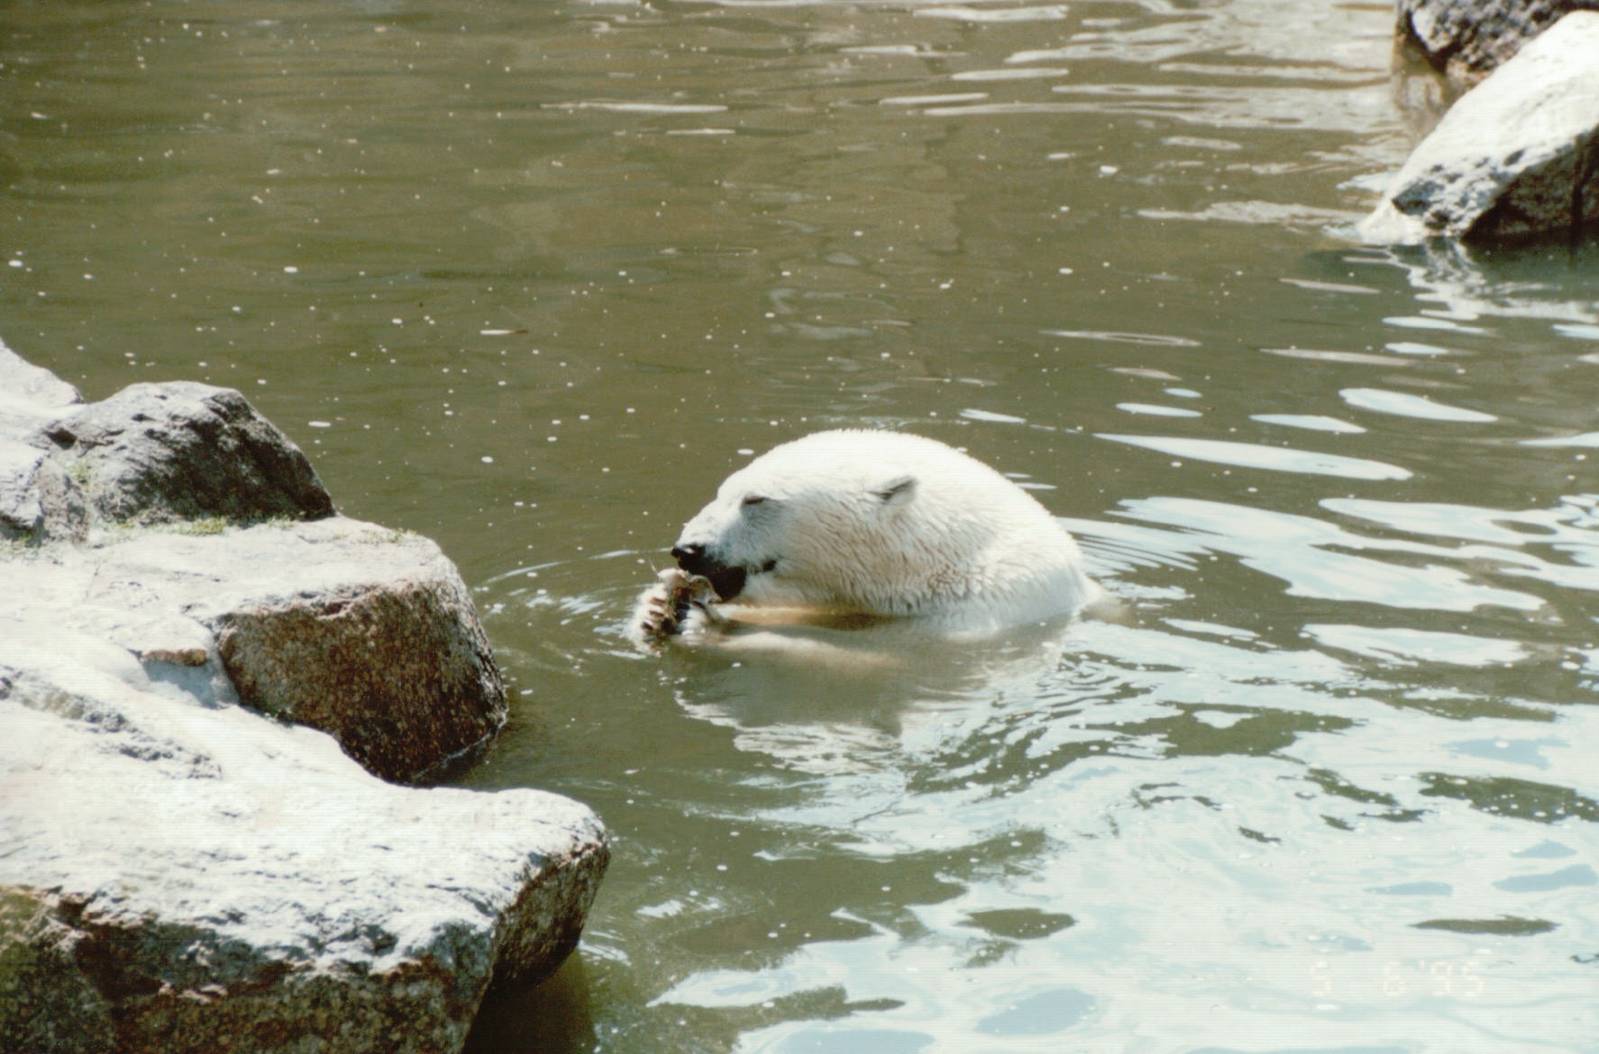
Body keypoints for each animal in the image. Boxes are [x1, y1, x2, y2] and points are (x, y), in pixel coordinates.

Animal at [632, 430, 1098, 649]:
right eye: (722, 491)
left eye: (755, 499)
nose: (688, 550)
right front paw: (655, 609)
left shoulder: (982, 609)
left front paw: (703, 624)